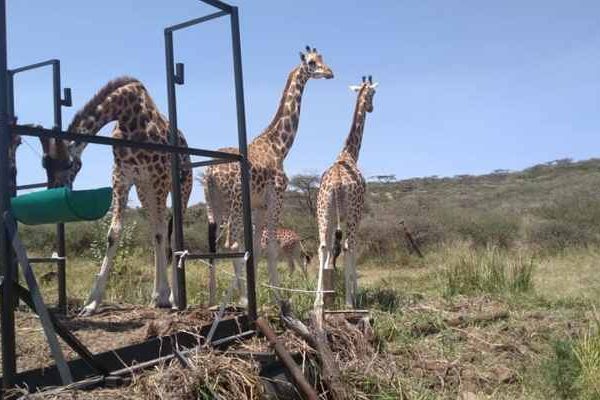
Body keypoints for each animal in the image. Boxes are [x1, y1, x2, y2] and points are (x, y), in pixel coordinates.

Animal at [39, 77, 192, 316]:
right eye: (45, 165)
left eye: (70, 164)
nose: (54, 192)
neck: (130, 117)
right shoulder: (122, 176)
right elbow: (115, 233)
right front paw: (91, 303)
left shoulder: (157, 176)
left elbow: (163, 234)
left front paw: (166, 296)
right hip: (144, 190)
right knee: (156, 230)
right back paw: (157, 296)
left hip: (180, 186)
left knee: (172, 233)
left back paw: (174, 298)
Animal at [205, 47, 336, 304]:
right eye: (312, 62)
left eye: (323, 59)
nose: (330, 73)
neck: (279, 146)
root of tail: (211, 172)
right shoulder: (277, 197)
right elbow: (271, 249)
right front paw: (277, 298)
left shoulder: (259, 206)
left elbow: (256, 248)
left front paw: (257, 292)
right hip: (235, 204)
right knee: (232, 244)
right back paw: (240, 299)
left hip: (214, 206)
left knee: (214, 245)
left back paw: (213, 300)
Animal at [316, 76, 378, 310]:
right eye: (373, 93)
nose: (371, 107)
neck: (349, 153)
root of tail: (337, 182)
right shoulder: (356, 214)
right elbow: (351, 249)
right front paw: (355, 295)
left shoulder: (335, 216)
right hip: (351, 212)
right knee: (348, 246)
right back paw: (350, 303)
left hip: (323, 211)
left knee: (323, 247)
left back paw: (318, 302)